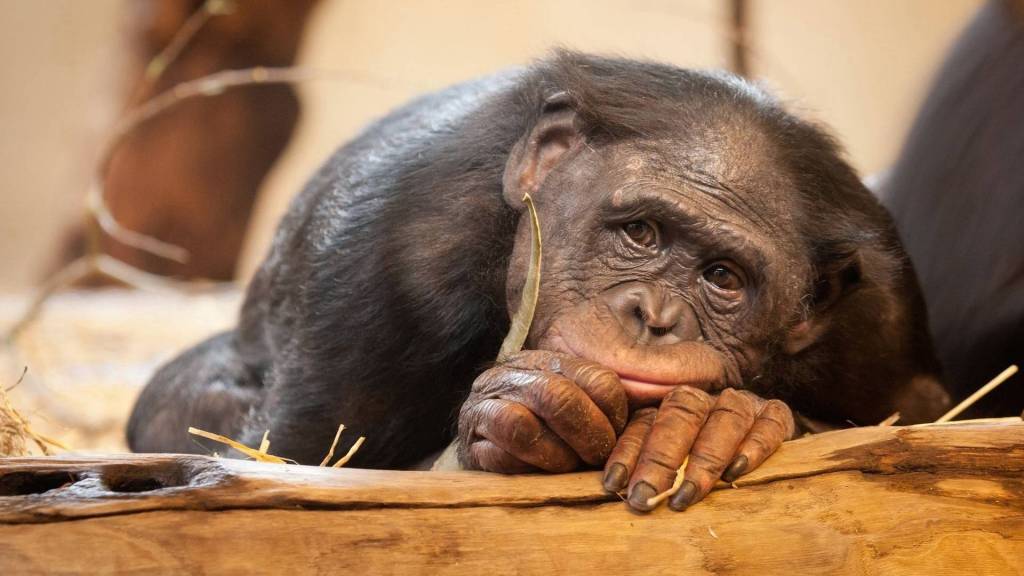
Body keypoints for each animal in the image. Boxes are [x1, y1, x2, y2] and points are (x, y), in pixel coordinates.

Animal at [127, 50, 950, 513]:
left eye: (722, 277)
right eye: (641, 233)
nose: (654, 314)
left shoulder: (879, 323)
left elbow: (920, 420)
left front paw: (721, 421)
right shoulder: (378, 263)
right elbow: (290, 461)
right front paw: (525, 406)